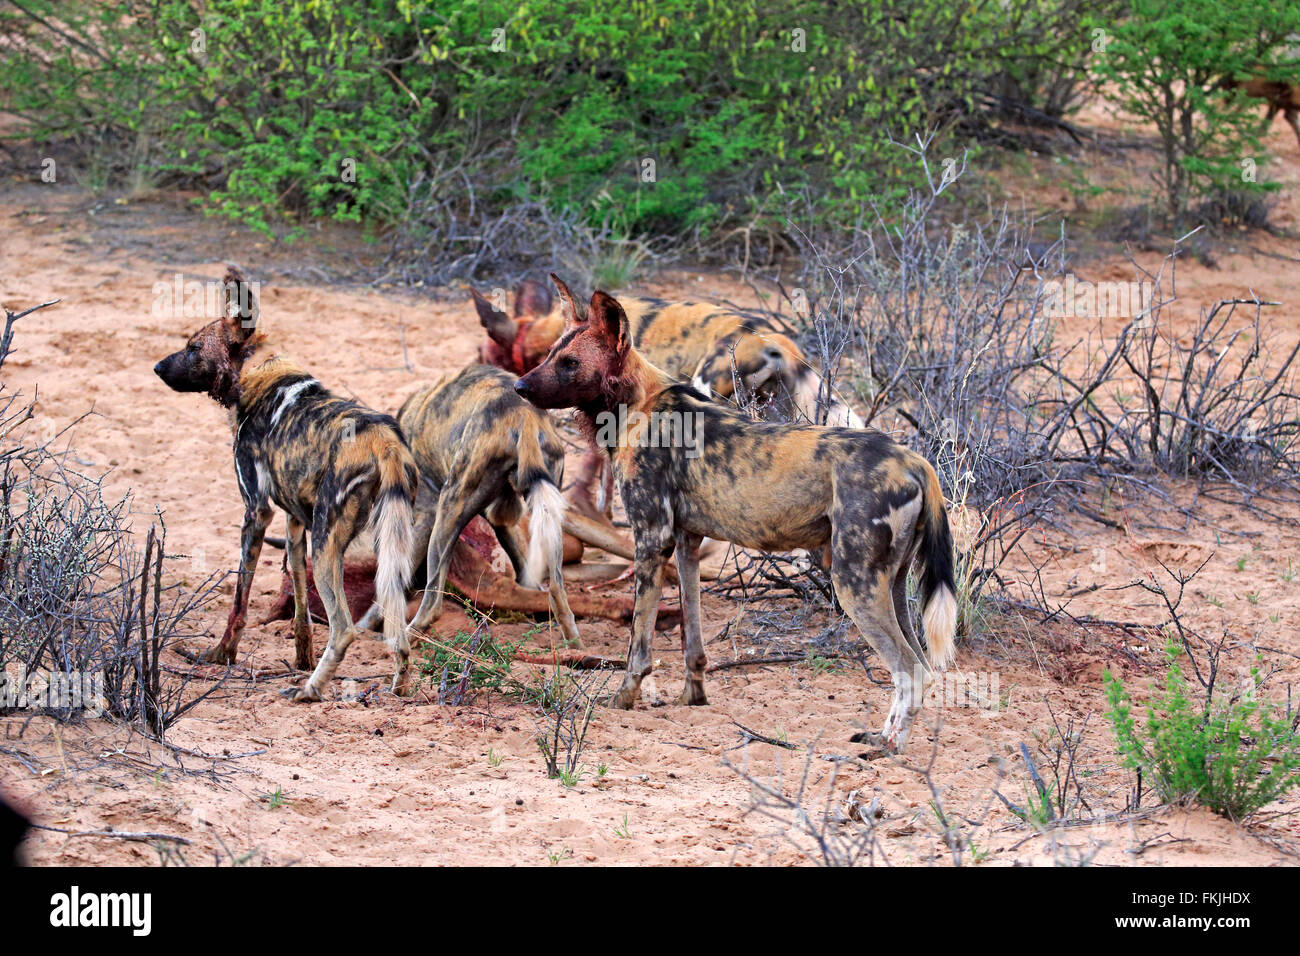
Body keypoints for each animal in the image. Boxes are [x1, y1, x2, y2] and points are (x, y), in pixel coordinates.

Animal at [151, 265, 418, 697]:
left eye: (193, 347)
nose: (157, 367)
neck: (256, 376)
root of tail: (384, 441)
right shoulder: (294, 523)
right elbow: (300, 607)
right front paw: (300, 658)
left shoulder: (256, 511)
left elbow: (239, 602)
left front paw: (221, 656)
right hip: (386, 544)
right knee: (398, 630)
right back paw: (397, 685)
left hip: (328, 544)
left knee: (343, 627)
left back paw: (308, 691)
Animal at [353, 366, 582, 650]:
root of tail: (523, 415)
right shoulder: (501, 522)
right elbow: (524, 569)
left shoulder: (425, 516)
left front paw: (365, 628)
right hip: (548, 516)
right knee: (558, 591)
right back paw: (575, 646)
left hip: (447, 511)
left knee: (433, 605)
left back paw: (408, 638)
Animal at [520, 277, 967, 754]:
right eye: (551, 353)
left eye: (569, 363)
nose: (520, 387)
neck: (637, 403)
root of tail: (915, 462)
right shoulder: (686, 543)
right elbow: (692, 640)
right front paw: (692, 698)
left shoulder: (650, 539)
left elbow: (637, 648)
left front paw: (623, 699)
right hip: (893, 585)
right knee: (921, 665)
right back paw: (882, 737)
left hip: (854, 585)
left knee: (910, 668)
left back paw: (889, 749)